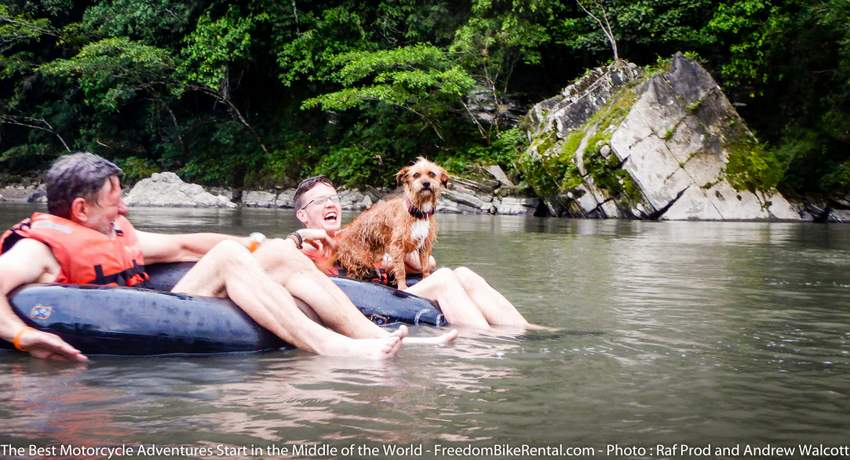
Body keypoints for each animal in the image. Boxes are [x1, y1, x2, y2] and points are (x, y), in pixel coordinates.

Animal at [332, 158, 448, 288]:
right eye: (416, 175)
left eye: (431, 174)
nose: (426, 183)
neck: (418, 213)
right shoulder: (397, 246)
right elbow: (401, 270)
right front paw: (402, 286)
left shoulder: (425, 246)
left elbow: (425, 267)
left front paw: (425, 279)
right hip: (360, 258)